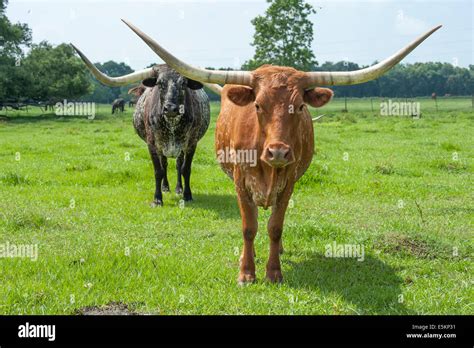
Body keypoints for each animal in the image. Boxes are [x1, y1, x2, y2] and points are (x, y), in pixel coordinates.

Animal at [71, 44, 216, 207]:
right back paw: (166, 187)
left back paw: (178, 188)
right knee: (165, 164)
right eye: (160, 83)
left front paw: (187, 194)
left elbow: (186, 169)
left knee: (178, 164)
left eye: (184, 84)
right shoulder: (152, 144)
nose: (170, 108)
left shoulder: (191, 143)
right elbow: (158, 170)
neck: (172, 123)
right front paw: (157, 198)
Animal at [120, 19, 442, 282]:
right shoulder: (240, 184)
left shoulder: (288, 184)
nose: (278, 153)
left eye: (299, 106)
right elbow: (248, 227)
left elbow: (275, 227)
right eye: (257, 105)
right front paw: (246, 272)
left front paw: (274, 272)